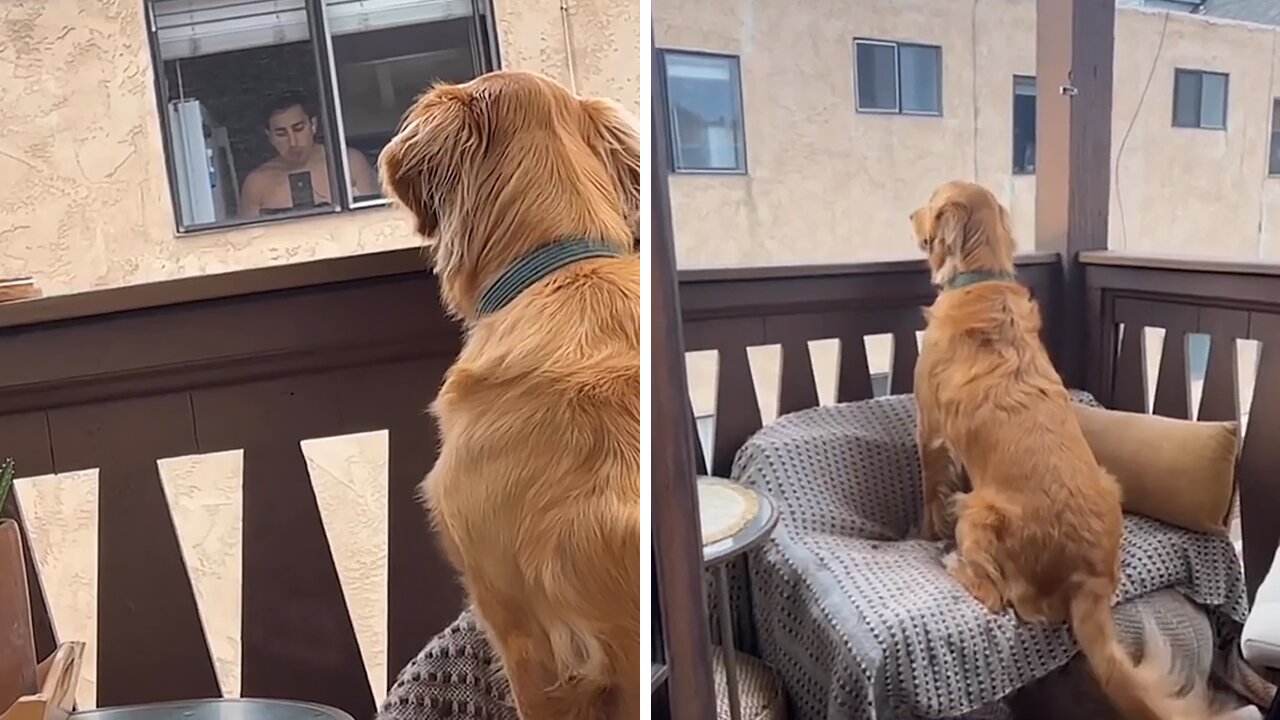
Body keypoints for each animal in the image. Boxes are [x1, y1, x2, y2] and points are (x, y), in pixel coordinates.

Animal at [906, 180, 1213, 717]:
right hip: (1107, 482)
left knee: (995, 597)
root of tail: (1088, 578)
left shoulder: (930, 432)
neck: (980, 279)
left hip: (978, 511)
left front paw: (924, 534)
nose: (909, 216)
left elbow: (930, 496)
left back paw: (953, 561)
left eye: (933, 200)